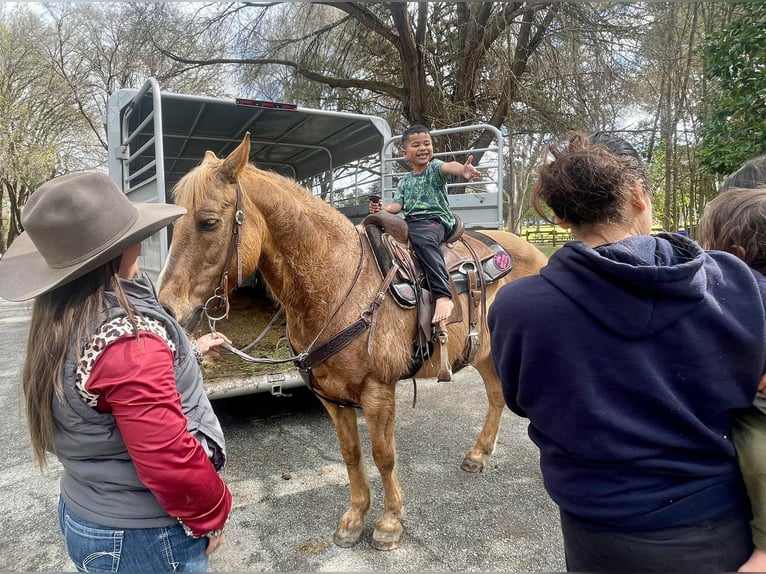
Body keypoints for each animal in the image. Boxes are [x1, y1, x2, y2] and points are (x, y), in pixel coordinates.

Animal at [160, 133, 544, 552]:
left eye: (209, 222)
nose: (167, 306)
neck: (339, 282)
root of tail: (532, 251)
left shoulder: (378, 391)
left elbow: (383, 455)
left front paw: (389, 522)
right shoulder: (331, 396)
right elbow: (351, 454)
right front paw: (355, 517)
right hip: (483, 354)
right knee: (496, 395)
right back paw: (478, 455)